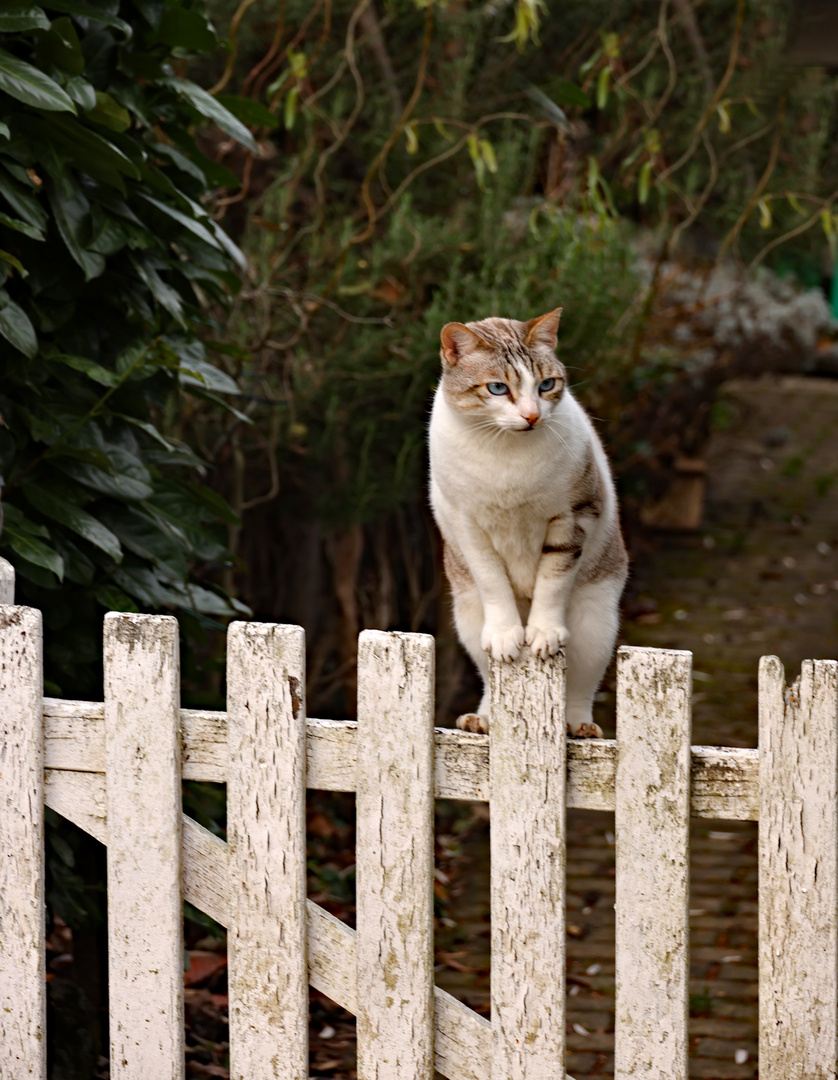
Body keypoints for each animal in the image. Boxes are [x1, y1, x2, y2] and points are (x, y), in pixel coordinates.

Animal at [431, 308, 630, 738]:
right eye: (497, 389)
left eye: (547, 385)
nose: (532, 416)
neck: (505, 450)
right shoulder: (466, 524)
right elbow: (493, 581)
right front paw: (509, 635)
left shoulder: (574, 514)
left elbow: (553, 580)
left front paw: (542, 632)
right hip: (468, 616)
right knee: (489, 676)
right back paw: (482, 720)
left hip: (595, 623)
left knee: (580, 685)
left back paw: (578, 726)